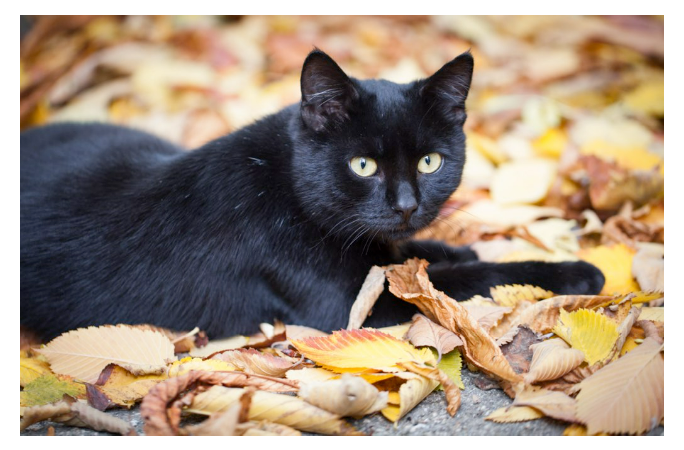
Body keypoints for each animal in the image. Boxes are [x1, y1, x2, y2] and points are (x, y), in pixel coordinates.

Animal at [18, 50, 600, 338]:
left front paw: (447, 246)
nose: (407, 205)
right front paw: (571, 273)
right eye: (363, 165)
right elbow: (469, 280)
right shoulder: (350, 305)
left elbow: (409, 255)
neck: (284, 186)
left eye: (430, 161)